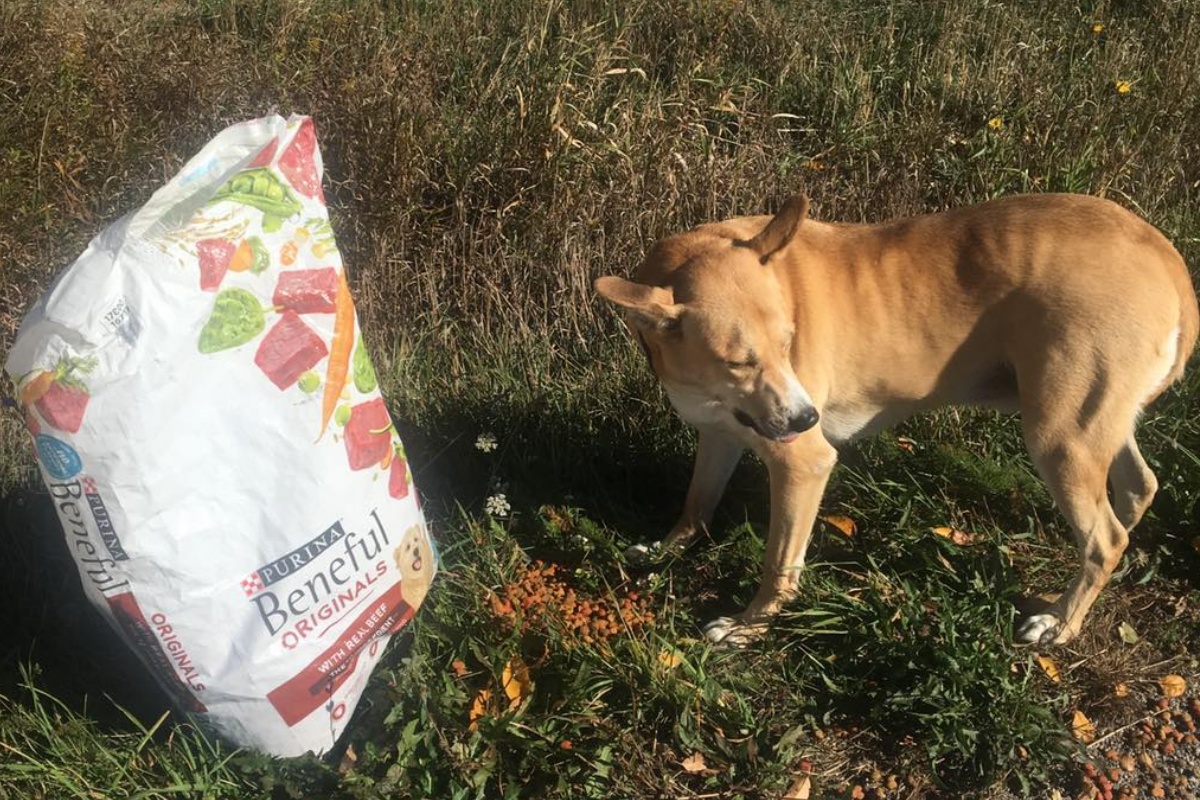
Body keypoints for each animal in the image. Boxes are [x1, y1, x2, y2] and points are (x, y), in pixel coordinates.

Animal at [595, 195, 1195, 652]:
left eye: (789, 341)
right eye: (738, 362)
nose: (808, 416)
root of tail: (1165, 256)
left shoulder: (803, 463)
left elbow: (779, 564)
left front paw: (750, 627)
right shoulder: (719, 434)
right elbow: (696, 504)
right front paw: (666, 550)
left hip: (1058, 435)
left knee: (1104, 539)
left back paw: (1062, 622)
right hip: (1096, 423)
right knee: (1138, 489)